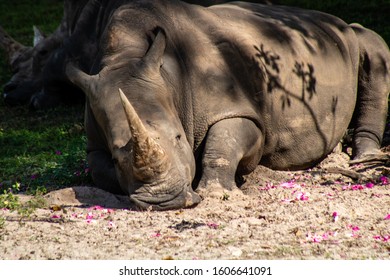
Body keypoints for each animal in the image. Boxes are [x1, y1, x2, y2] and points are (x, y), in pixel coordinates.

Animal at [8, 0, 390, 210]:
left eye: (179, 138)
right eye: (118, 154)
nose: (164, 201)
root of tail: (332, 20)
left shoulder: (238, 106)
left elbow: (224, 142)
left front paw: (216, 192)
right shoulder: (94, 138)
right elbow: (101, 172)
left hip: (346, 36)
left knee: (373, 45)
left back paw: (363, 159)